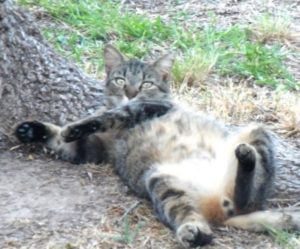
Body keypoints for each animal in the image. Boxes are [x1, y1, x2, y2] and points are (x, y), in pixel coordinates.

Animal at [15, 45, 300, 248]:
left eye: (146, 83)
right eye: (120, 80)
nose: (130, 92)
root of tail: (225, 207)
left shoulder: (147, 107)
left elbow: (111, 115)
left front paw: (75, 125)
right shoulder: (93, 150)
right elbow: (60, 140)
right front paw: (31, 129)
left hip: (257, 132)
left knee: (249, 197)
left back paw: (244, 161)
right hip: (162, 182)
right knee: (192, 214)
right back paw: (195, 232)